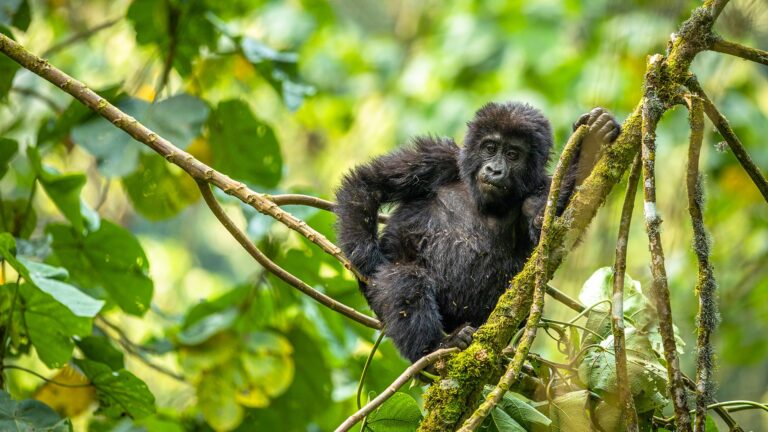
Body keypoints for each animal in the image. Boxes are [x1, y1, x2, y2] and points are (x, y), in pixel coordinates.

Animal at [335, 103, 620, 362]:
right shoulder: (436, 157)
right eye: (490, 148)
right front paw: (368, 260)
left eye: (513, 154)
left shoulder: (541, 188)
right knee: (405, 279)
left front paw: (590, 144)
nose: (494, 170)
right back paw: (435, 347)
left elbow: (550, 230)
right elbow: (368, 184)